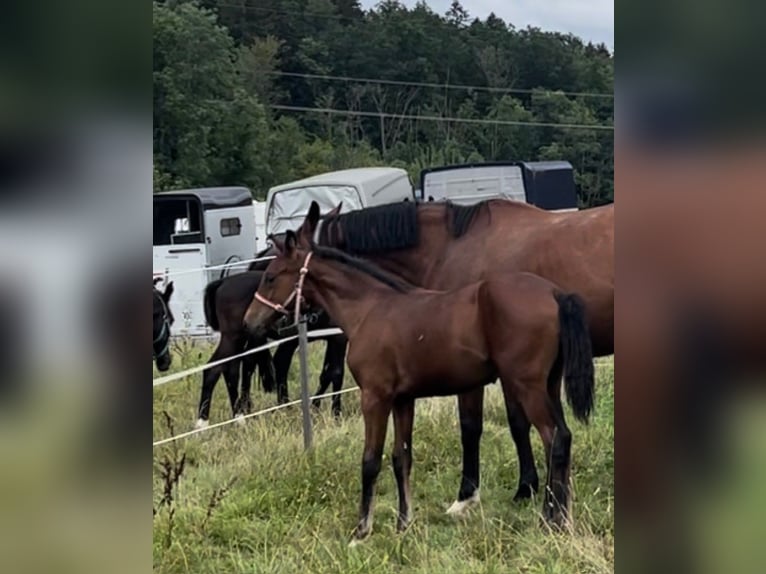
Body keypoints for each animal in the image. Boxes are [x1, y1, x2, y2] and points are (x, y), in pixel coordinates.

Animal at [195, 270, 348, 428]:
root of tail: (222, 282)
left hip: (238, 340)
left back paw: (239, 417)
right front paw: (336, 415)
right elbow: (336, 373)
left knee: (231, 372)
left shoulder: (332, 338)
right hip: (232, 338)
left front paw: (315, 407)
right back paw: (203, 423)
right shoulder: (339, 338)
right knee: (213, 369)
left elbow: (326, 374)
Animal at [243, 228, 595, 543]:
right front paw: (403, 523)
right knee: (563, 438)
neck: (370, 310)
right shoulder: (403, 400)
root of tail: (554, 294)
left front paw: (361, 531)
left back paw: (551, 519)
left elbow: (370, 461)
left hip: (527, 386)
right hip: (548, 385)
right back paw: (562, 516)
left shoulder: (375, 398)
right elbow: (402, 458)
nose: (249, 322)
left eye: (271, 276)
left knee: (554, 438)